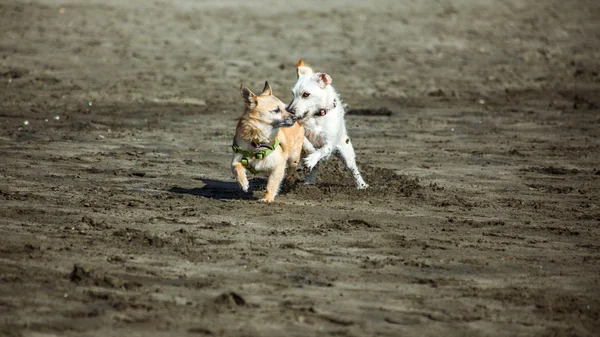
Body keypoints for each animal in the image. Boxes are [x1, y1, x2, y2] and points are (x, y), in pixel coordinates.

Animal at [284, 59, 368, 188]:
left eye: (306, 94)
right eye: (293, 94)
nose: (289, 110)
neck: (317, 116)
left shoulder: (329, 143)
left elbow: (323, 150)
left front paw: (312, 157)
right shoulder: (302, 132)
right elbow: (306, 142)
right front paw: (311, 151)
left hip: (346, 152)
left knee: (353, 168)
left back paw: (361, 185)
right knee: (314, 166)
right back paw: (309, 180)